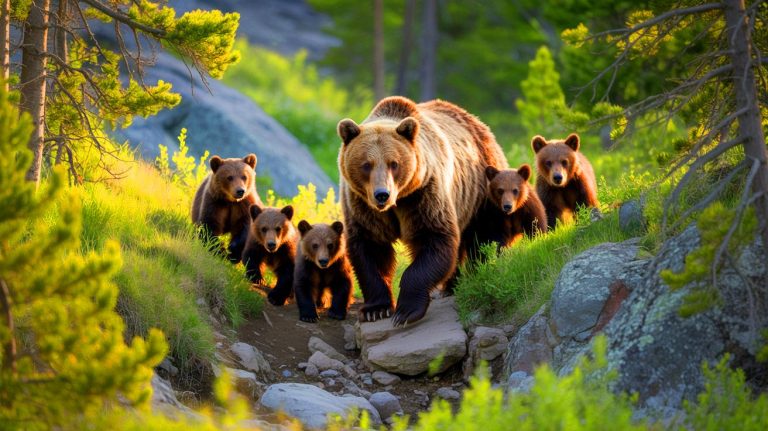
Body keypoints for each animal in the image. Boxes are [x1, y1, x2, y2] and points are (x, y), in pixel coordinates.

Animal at [337, 96, 507, 326]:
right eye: (366, 164)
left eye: (394, 163)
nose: (382, 194)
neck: (397, 202)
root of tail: (477, 122)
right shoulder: (362, 205)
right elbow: (370, 248)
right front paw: (376, 309)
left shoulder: (423, 194)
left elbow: (434, 238)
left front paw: (405, 311)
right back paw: (451, 285)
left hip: (480, 187)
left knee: (485, 235)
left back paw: (478, 272)